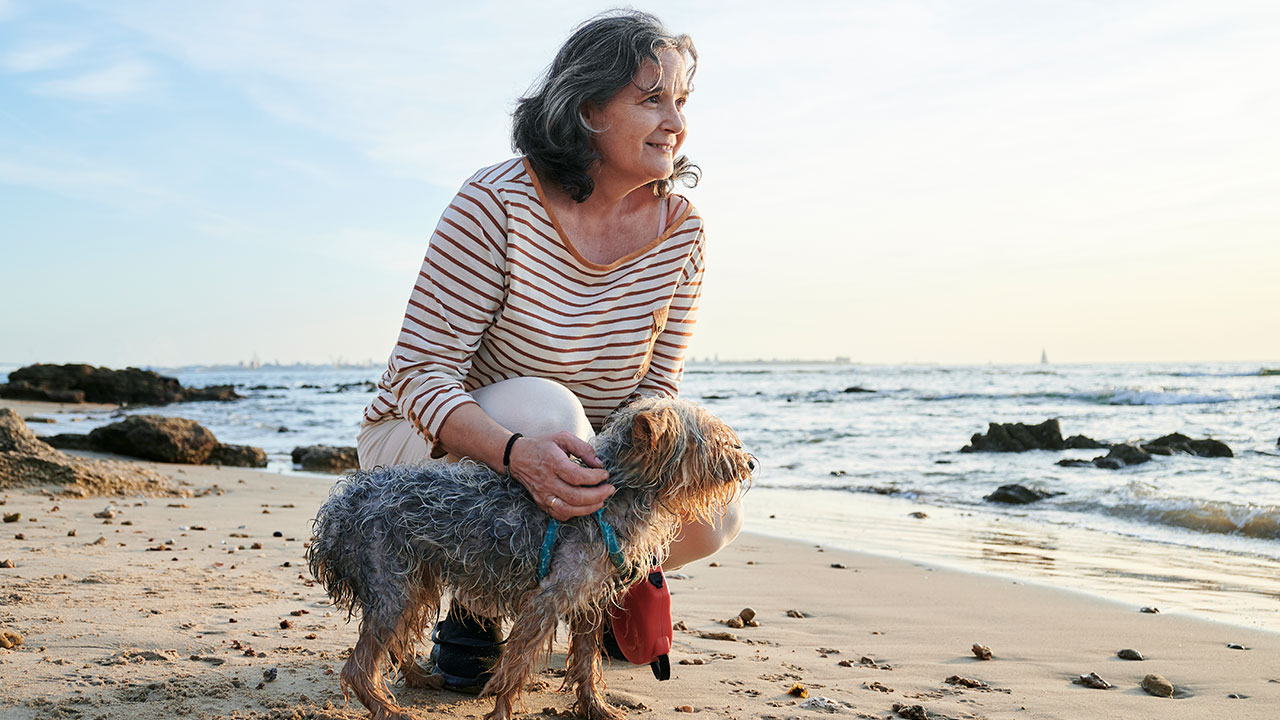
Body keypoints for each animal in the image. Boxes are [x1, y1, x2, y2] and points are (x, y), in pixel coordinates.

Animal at [305, 394, 752, 717]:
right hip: (391, 586)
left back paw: (420, 679)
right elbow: (516, 665)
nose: (749, 461)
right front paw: (502, 711)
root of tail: (339, 506)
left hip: (415, 583)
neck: (614, 495)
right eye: (713, 440)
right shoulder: (546, 600)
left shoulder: (587, 599)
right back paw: (389, 710)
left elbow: (586, 662)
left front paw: (596, 708)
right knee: (358, 667)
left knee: (395, 644)